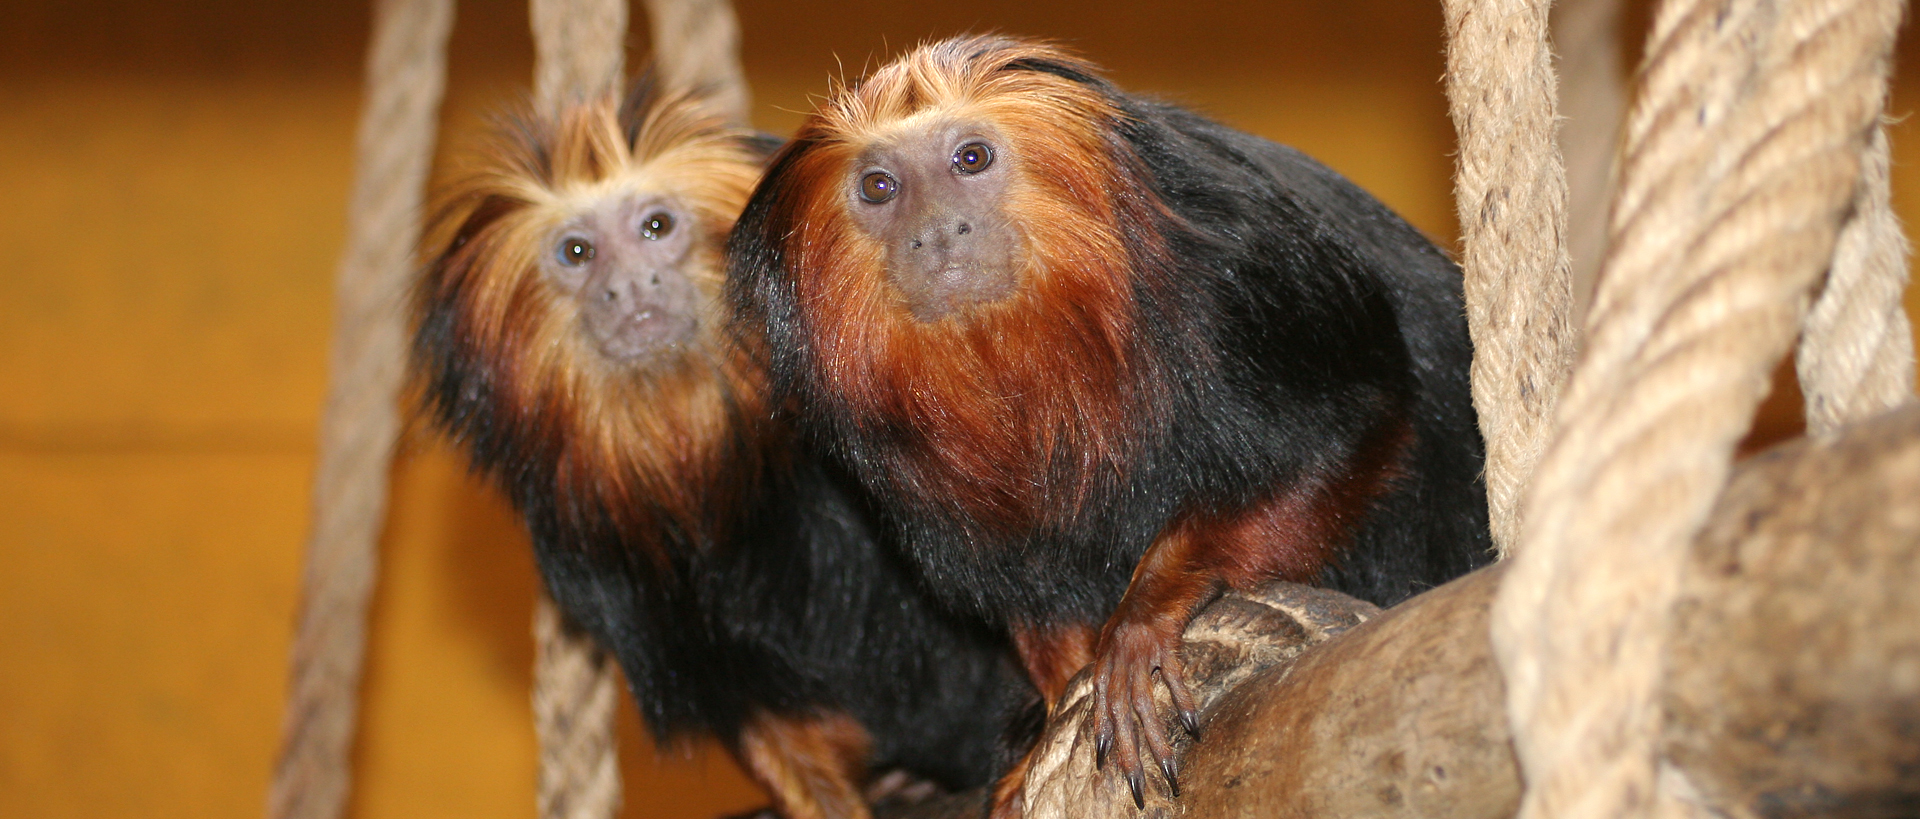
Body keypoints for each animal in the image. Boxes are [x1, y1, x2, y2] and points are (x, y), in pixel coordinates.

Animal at [409, 80, 1032, 819]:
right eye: (577, 253)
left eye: (656, 228)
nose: (630, 287)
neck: (712, 461)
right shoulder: (603, 565)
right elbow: (764, 715)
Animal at [727, 36, 1492, 813]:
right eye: (880, 188)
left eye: (970, 159)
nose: (936, 234)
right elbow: (1034, 589)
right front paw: (1051, 716)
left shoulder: (1241, 265)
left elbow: (1340, 437)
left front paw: (1146, 612)